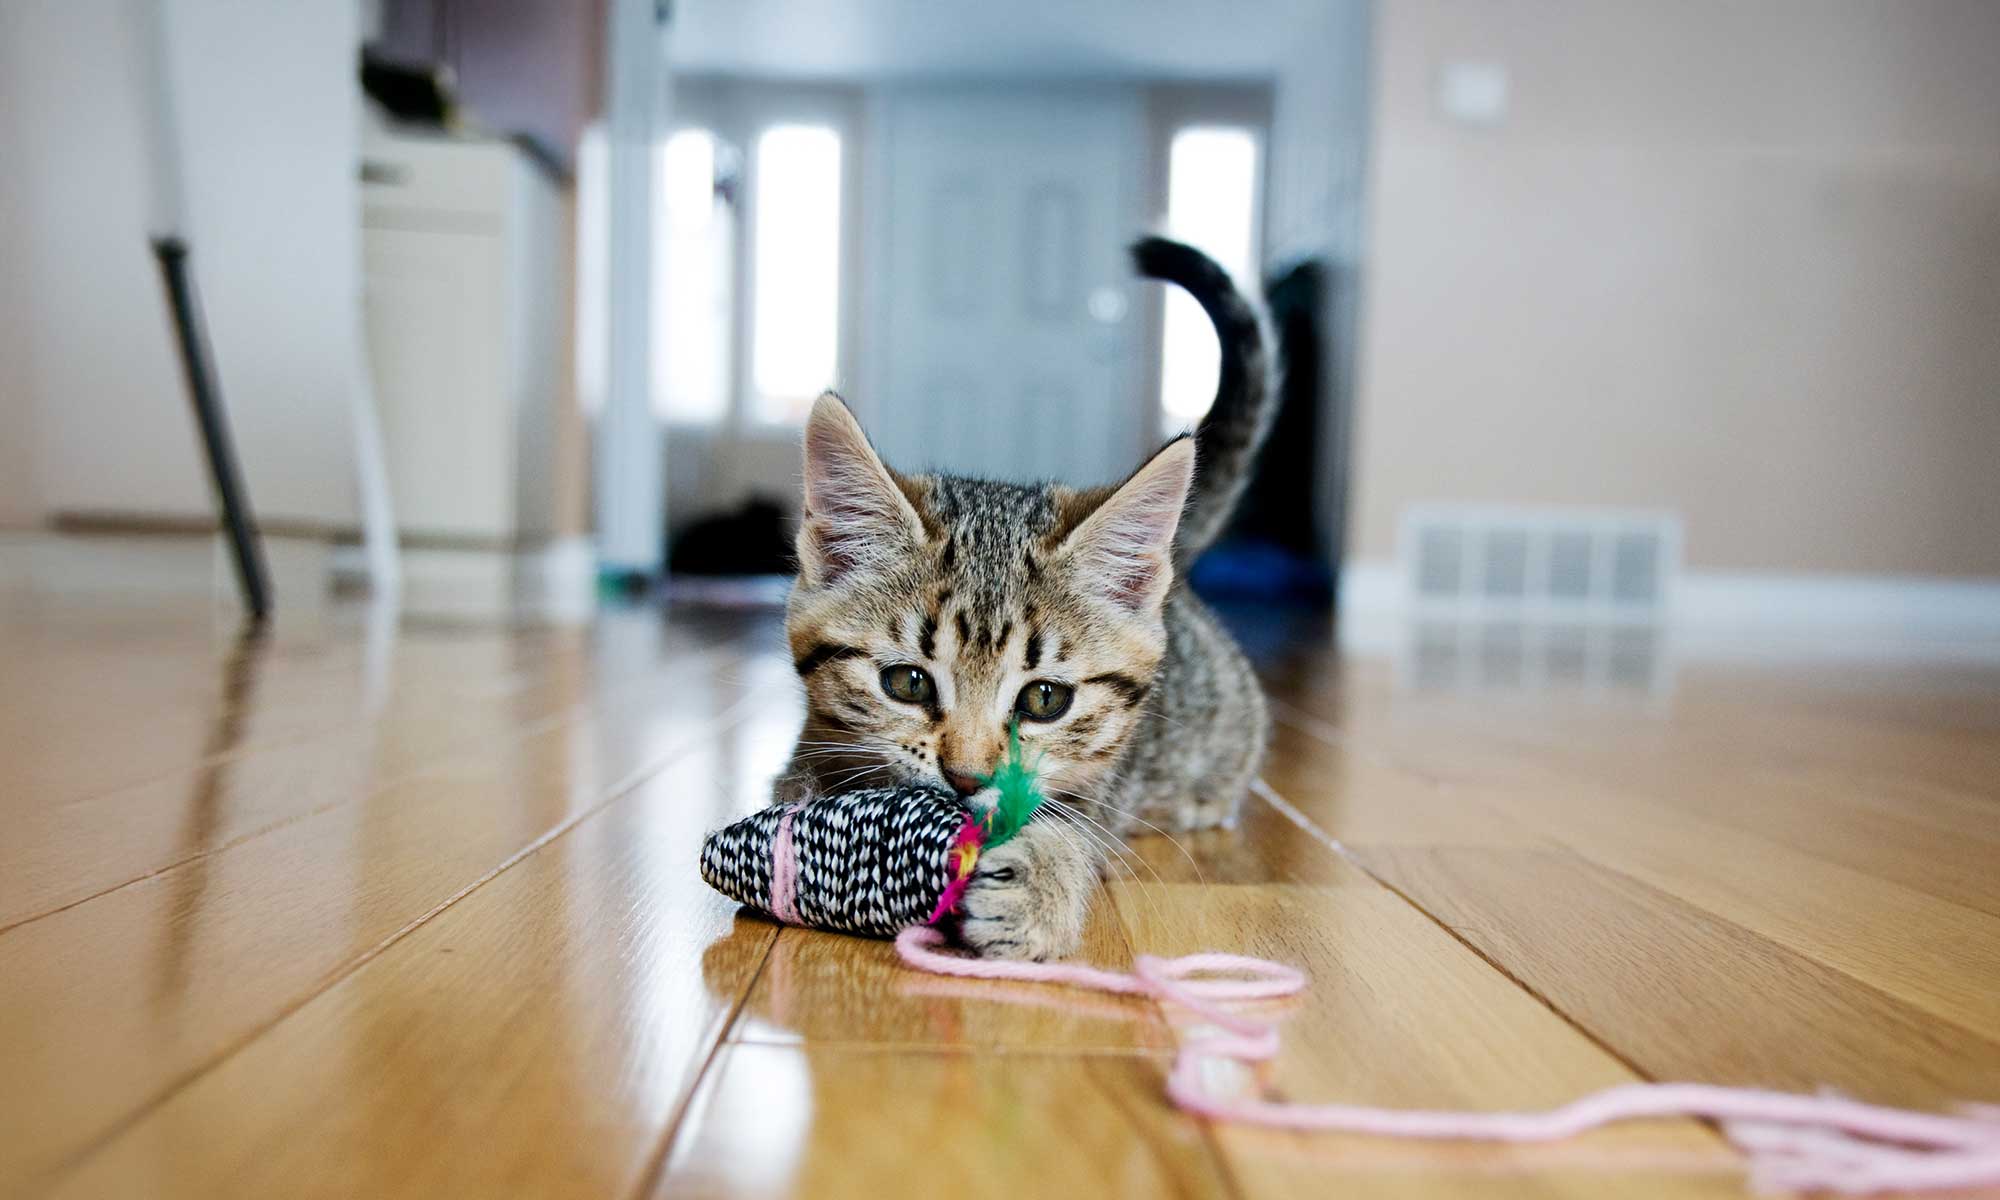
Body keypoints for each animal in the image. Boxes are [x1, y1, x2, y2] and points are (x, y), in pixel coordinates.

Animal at [772, 239, 1272, 960]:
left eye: (1044, 699)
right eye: (906, 683)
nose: (967, 778)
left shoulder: (1100, 789)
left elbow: (1073, 826)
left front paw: (1040, 885)